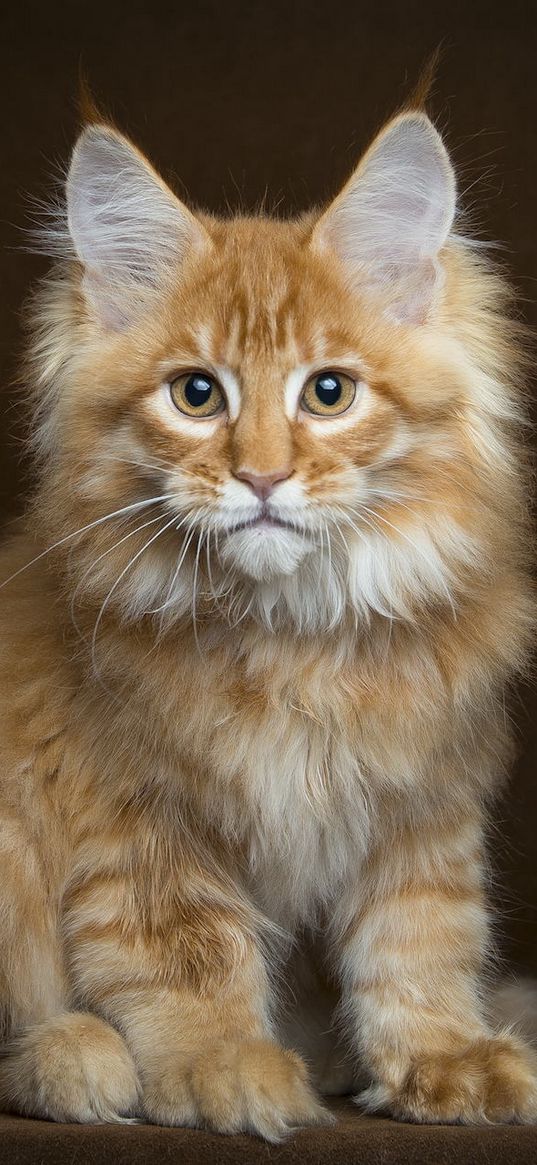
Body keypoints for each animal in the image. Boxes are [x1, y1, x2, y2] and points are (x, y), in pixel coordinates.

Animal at [0, 97, 533, 1137]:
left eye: (328, 391)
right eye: (196, 393)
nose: (260, 475)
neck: (294, 633)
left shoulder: (420, 801)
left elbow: (420, 936)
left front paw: (439, 1059)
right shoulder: (138, 812)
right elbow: (190, 952)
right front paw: (223, 1065)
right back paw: (74, 1057)